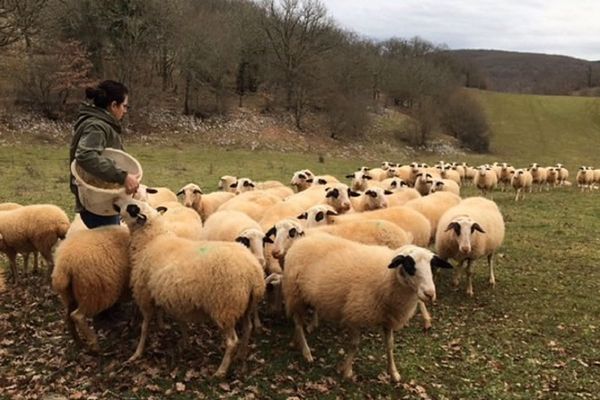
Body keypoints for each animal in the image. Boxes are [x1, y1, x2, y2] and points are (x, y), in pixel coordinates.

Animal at [52, 225, 131, 354]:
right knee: (77, 316)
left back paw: (79, 342)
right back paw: (94, 344)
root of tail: (64, 265)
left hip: (70, 295)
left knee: (68, 317)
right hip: (93, 293)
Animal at [115, 200, 264, 378]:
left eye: (131, 208)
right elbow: (180, 321)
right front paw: (182, 341)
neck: (151, 241)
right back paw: (241, 355)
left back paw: (221, 370)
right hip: (246, 305)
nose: (115, 203)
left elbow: (144, 327)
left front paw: (137, 353)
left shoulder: (144, 294)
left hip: (225, 306)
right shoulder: (173, 296)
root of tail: (254, 272)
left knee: (232, 341)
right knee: (248, 329)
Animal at [282, 234, 450, 382]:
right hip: (294, 293)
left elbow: (390, 346)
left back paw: (298, 339)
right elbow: (354, 345)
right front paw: (347, 370)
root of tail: (302, 240)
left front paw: (393, 373)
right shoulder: (354, 314)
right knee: (298, 322)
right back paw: (306, 351)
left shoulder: (388, 318)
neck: (386, 277)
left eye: (432, 266)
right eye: (409, 265)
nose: (429, 294)